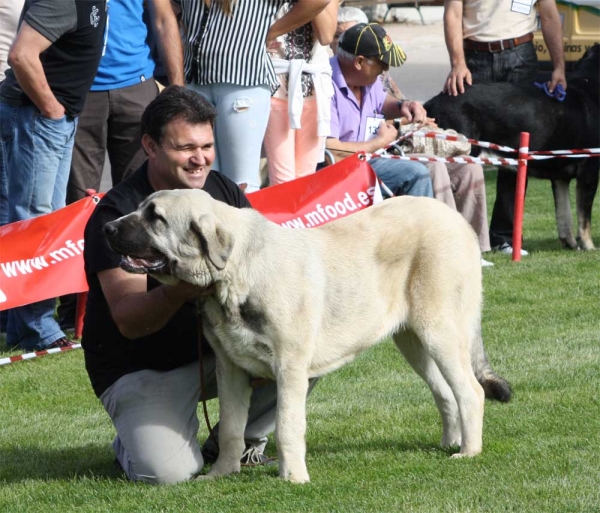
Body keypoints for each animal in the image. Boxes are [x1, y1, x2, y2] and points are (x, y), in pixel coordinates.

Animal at [104, 190, 510, 482]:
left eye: (155, 216)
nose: (107, 228)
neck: (238, 270)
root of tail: (457, 219)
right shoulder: (229, 367)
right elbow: (233, 427)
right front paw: (221, 474)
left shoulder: (290, 367)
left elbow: (287, 426)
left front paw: (293, 477)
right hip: (413, 340)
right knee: (445, 392)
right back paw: (450, 442)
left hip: (439, 330)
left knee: (470, 391)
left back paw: (468, 452)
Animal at [424, 45, 596, 249]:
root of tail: (432, 102)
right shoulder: (589, 171)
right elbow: (584, 216)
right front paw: (589, 246)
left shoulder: (560, 177)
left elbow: (564, 214)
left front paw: (570, 244)